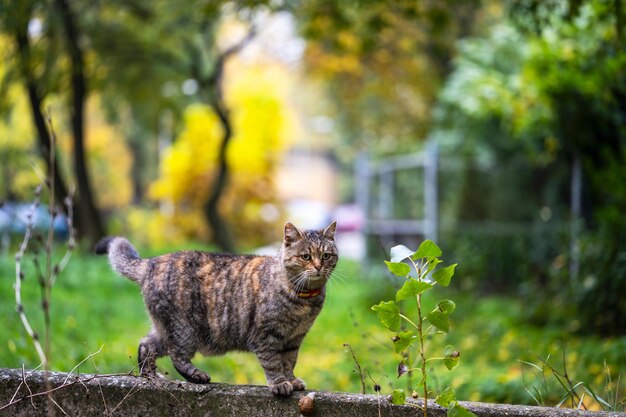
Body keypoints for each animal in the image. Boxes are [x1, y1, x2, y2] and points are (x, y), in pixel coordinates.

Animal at [93, 219, 336, 394]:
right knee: (176, 354)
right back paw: (196, 375)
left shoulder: (294, 338)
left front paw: (292, 381)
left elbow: (288, 362)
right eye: (306, 256)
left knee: (146, 345)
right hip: (184, 329)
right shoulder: (266, 335)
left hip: (165, 329)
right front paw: (279, 384)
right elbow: (273, 363)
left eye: (326, 255)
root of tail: (151, 262)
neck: (304, 301)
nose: (318, 267)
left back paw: (152, 377)